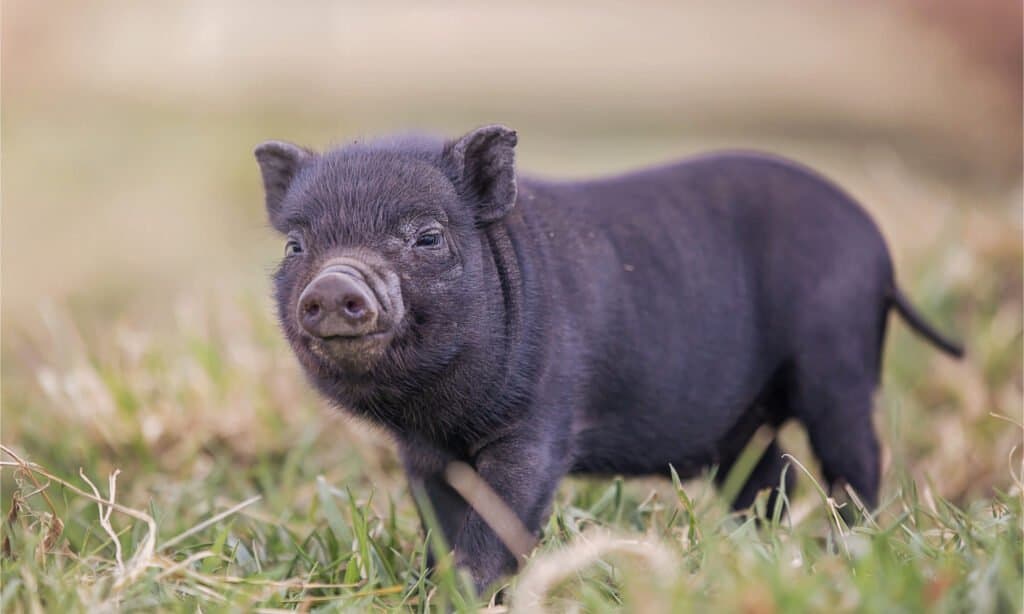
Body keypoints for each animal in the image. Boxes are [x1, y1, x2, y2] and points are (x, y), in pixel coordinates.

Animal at [253, 126, 958, 593]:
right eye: (295, 245)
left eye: (427, 236)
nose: (333, 285)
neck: (439, 411)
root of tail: (879, 250)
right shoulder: (424, 452)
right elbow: (441, 522)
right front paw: (433, 589)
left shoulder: (540, 422)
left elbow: (502, 517)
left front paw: (472, 594)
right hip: (743, 419)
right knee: (771, 473)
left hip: (839, 358)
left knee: (854, 459)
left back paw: (845, 549)